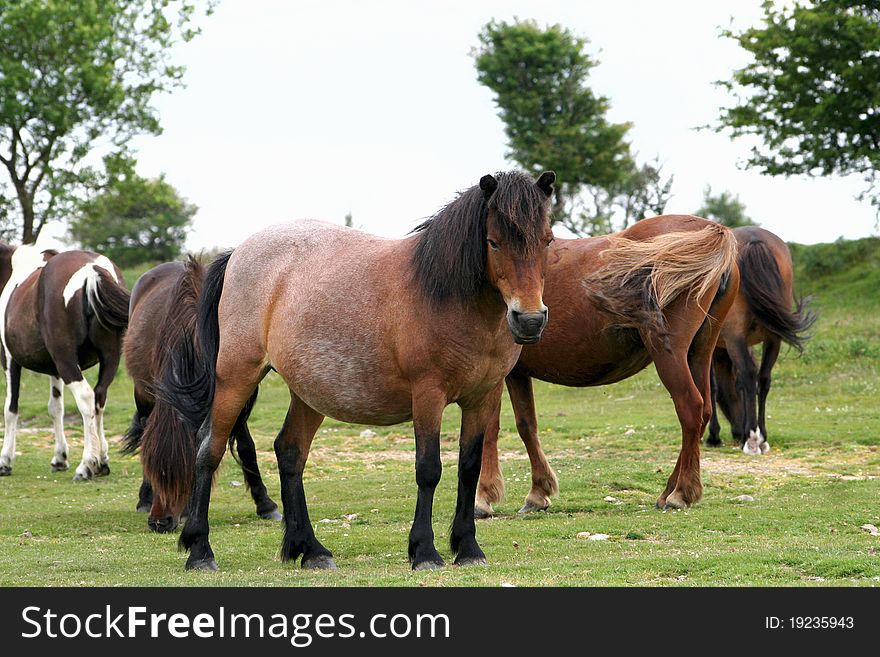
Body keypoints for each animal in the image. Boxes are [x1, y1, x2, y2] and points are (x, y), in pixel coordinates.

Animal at [0, 243, 130, 480]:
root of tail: (92, 270)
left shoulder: (10, 359)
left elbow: (10, 408)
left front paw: (5, 461)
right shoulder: (55, 370)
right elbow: (56, 408)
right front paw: (60, 458)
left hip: (66, 359)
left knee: (86, 398)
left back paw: (86, 465)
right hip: (109, 358)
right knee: (99, 398)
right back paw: (102, 461)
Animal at [122, 258, 280, 532]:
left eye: (186, 471)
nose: (159, 522)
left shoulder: (233, 395)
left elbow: (246, 446)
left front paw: (266, 505)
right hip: (142, 394)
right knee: (143, 428)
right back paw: (144, 498)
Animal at [478, 218, 740, 516]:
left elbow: (489, 429)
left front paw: (484, 497)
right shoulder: (517, 374)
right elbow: (527, 426)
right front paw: (538, 492)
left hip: (670, 355)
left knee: (691, 408)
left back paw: (681, 493)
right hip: (700, 352)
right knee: (704, 410)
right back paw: (669, 491)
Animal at [704, 223, 816, 454]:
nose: (737, 429)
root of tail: (754, 239)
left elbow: (713, 386)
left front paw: (714, 435)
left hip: (736, 336)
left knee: (748, 374)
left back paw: (751, 439)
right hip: (773, 338)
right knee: (763, 378)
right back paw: (761, 436)